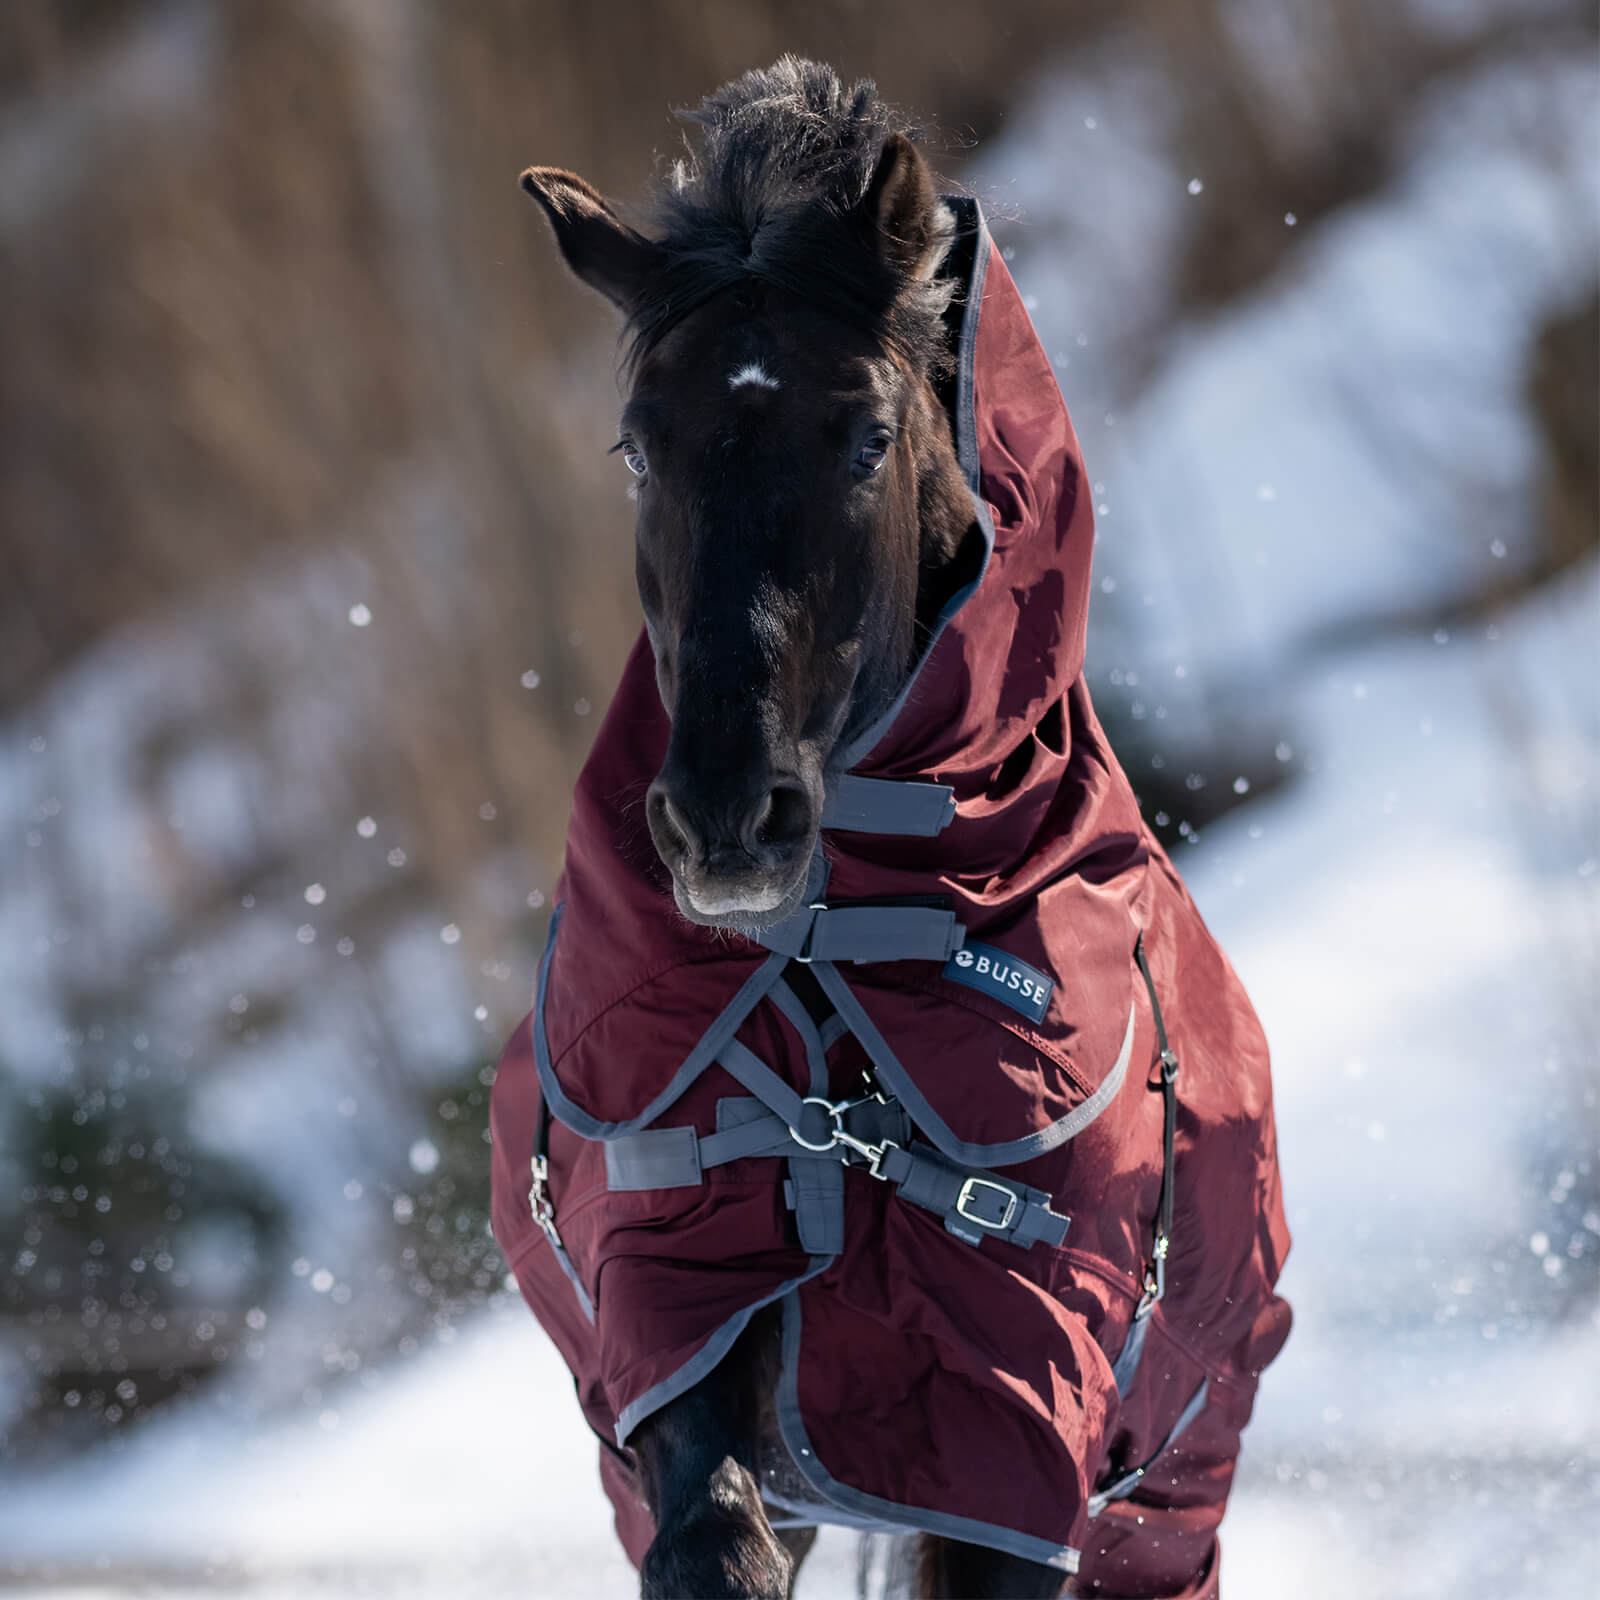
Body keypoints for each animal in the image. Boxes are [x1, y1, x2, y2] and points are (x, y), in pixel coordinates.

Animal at [495, 56, 1290, 1600]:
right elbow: (711, 1535)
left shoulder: (1006, 1424)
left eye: (866, 435)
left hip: (1167, 1496)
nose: (728, 822)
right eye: (638, 448)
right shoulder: (676, 1324)